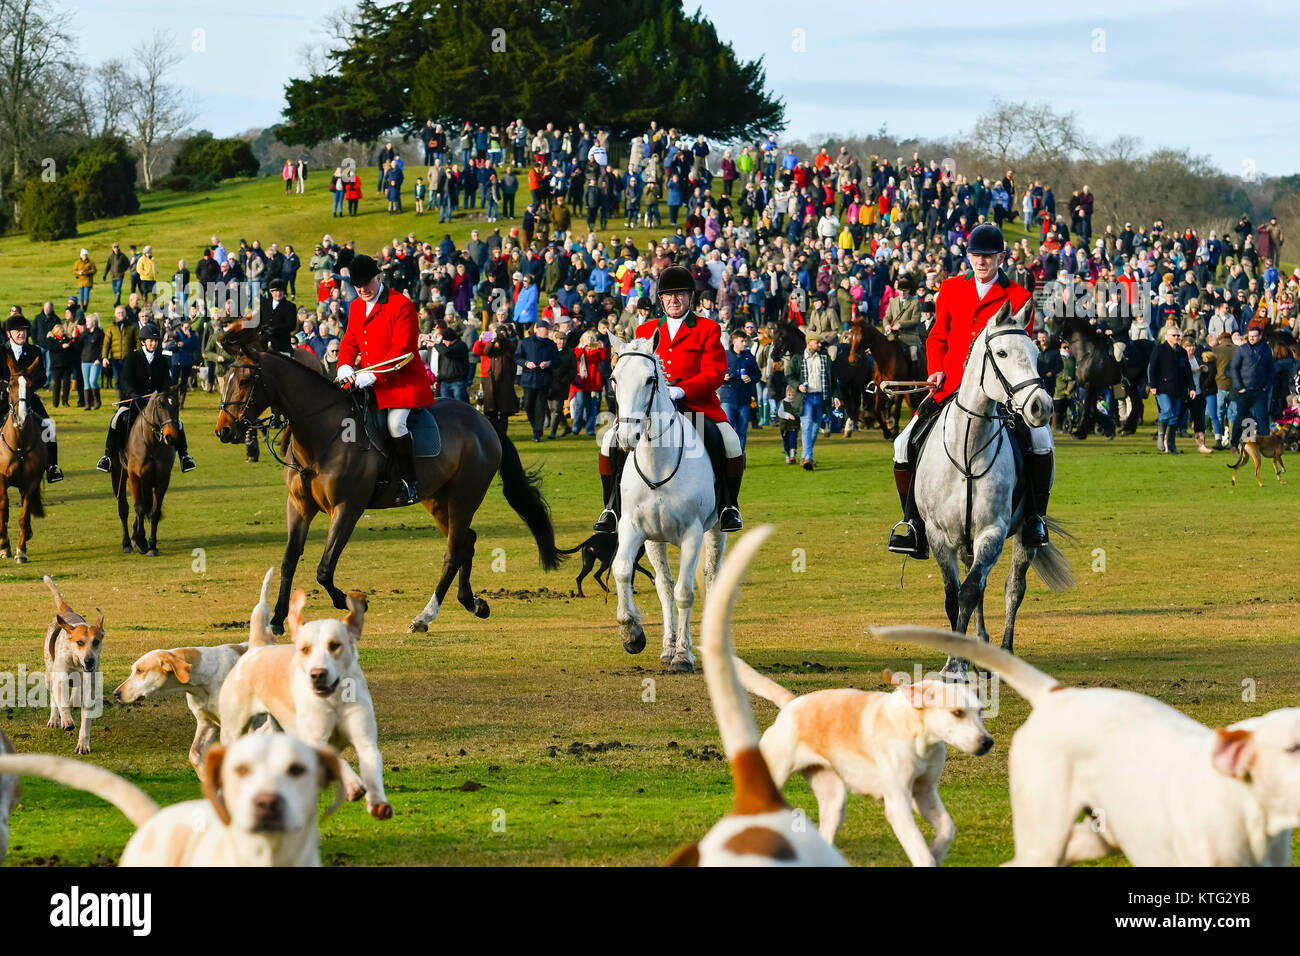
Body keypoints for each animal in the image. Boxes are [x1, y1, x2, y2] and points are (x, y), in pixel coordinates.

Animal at [111, 387, 182, 556]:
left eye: (177, 405)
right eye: (160, 405)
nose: (171, 437)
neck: (152, 443)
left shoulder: (162, 480)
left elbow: (154, 512)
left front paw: (151, 545)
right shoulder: (134, 477)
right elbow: (139, 507)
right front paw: (142, 541)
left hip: (147, 482)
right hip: (119, 475)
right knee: (124, 508)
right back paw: (127, 543)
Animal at [215, 329, 561, 634]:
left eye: (244, 381)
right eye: (224, 380)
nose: (224, 431)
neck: (322, 433)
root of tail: (483, 421)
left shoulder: (347, 509)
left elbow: (324, 569)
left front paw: (351, 601)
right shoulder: (299, 506)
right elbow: (288, 562)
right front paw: (276, 619)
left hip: (463, 499)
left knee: (453, 552)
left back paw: (425, 616)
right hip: (437, 500)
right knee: (467, 542)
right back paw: (472, 602)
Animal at [605, 335, 728, 671]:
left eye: (650, 380)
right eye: (614, 379)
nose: (627, 436)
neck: (657, 462)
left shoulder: (692, 534)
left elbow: (685, 592)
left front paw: (683, 655)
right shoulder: (633, 529)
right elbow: (623, 570)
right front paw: (632, 633)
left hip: (715, 530)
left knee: (709, 578)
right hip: (654, 541)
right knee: (664, 585)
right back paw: (667, 647)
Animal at [909, 300, 1071, 671]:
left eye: (1036, 353)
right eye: (1001, 353)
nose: (1041, 407)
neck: (967, 450)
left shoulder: (991, 533)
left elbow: (970, 591)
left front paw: (955, 665)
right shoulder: (938, 535)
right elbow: (954, 596)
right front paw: (956, 662)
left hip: (1023, 533)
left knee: (1013, 587)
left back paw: (1004, 651)